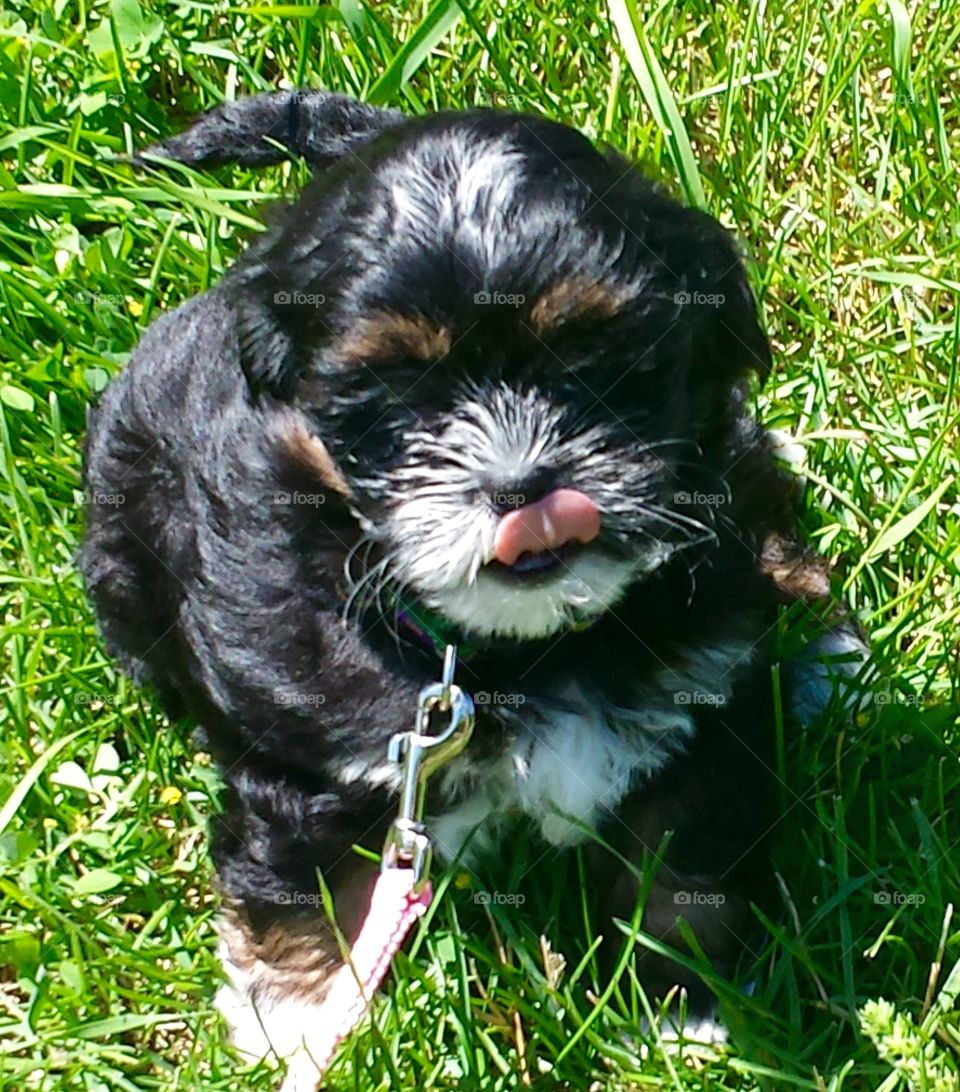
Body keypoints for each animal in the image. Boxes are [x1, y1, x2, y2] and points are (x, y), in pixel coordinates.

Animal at [80, 91, 812, 1083]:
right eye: (398, 395)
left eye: (591, 364)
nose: (520, 488)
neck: (514, 650)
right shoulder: (307, 760)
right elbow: (301, 889)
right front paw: (299, 1025)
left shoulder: (696, 704)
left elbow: (684, 865)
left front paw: (678, 1005)